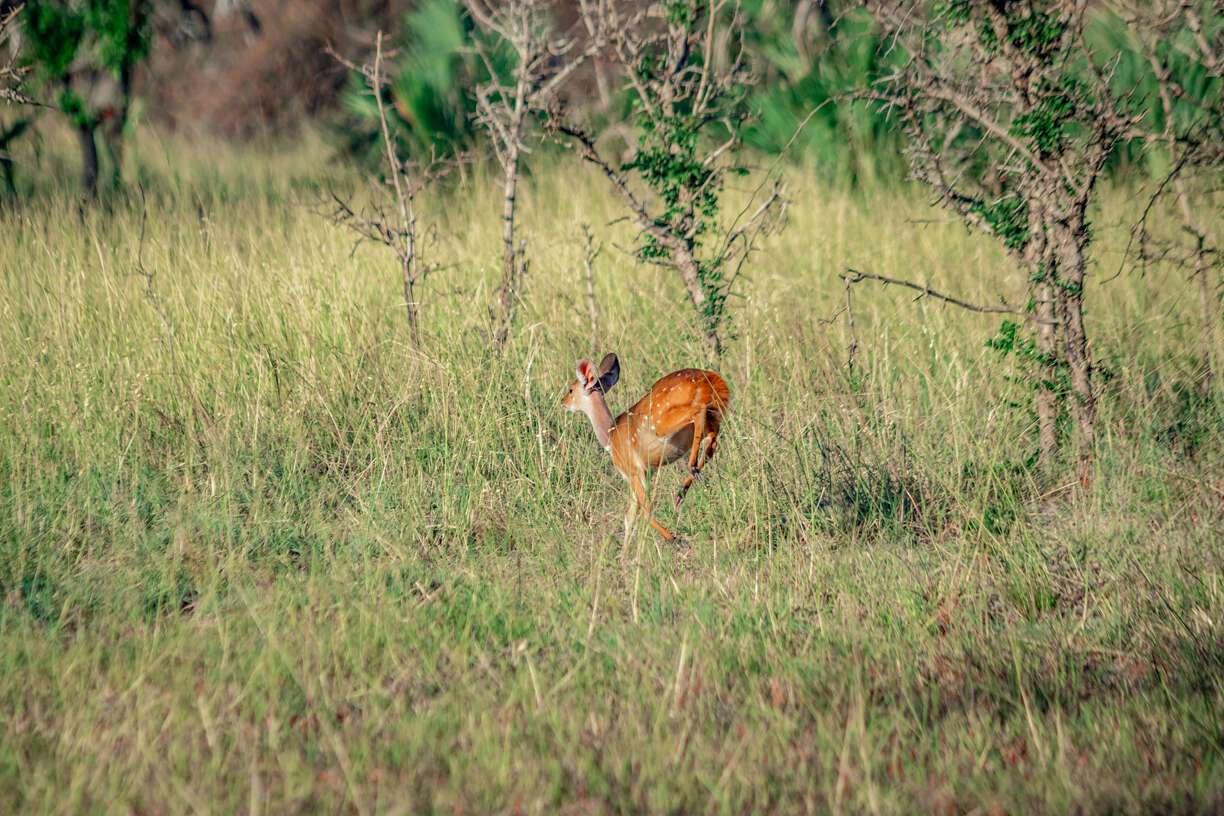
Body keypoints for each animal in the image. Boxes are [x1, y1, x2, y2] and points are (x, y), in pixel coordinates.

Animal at [560, 352, 724, 538]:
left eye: (571, 389)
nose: (563, 402)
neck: (609, 435)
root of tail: (708, 380)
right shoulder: (646, 472)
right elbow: (630, 516)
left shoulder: (632, 471)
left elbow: (644, 510)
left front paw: (677, 540)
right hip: (710, 420)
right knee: (712, 441)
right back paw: (683, 490)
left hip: (664, 425)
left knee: (698, 413)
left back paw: (691, 471)